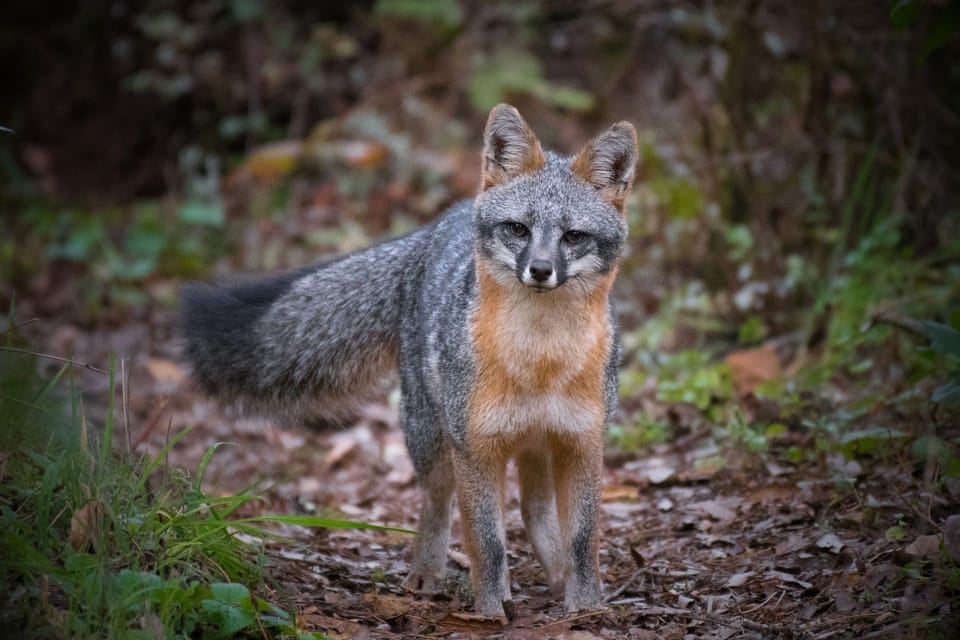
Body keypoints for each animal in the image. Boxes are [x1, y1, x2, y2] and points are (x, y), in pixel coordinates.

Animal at [180, 104, 637, 617]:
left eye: (573, 237)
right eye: (518, 229)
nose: (540, 270)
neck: (539, 364)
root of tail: (439, 223)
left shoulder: (582, 444)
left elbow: (582, 540)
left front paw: (586, 605)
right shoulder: (475, 448)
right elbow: (487, 542)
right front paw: (490, 612)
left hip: (534, 442)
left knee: (533, 510)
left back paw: (555, 577)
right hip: (431, 438)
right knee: (438, 505)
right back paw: (427, 573)